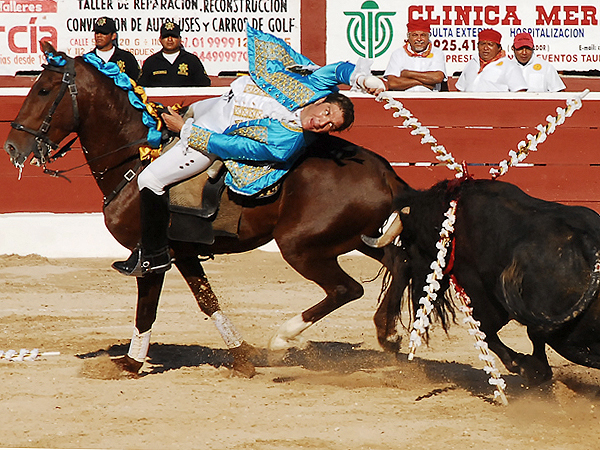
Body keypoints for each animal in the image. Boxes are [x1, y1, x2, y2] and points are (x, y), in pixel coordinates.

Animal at [3, 44, 408, 378]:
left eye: (43, 90)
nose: (12, 146)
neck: (134, 156)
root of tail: (384, 171)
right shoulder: (183, 252)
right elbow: (206, 298)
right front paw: (242, 357)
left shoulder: (151, 255)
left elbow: (147, 307)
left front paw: (130, 363)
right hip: (353, 239)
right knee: (397, 260)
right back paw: (389, 334)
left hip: (300, 246)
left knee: (346, 288)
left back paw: (283, 339)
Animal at [366, 178, 600, 384]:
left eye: (410, 246)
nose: (418, 295)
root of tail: (588, 243)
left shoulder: (477, 289)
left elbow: (486, 329)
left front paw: (528, 368)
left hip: (564, 338)